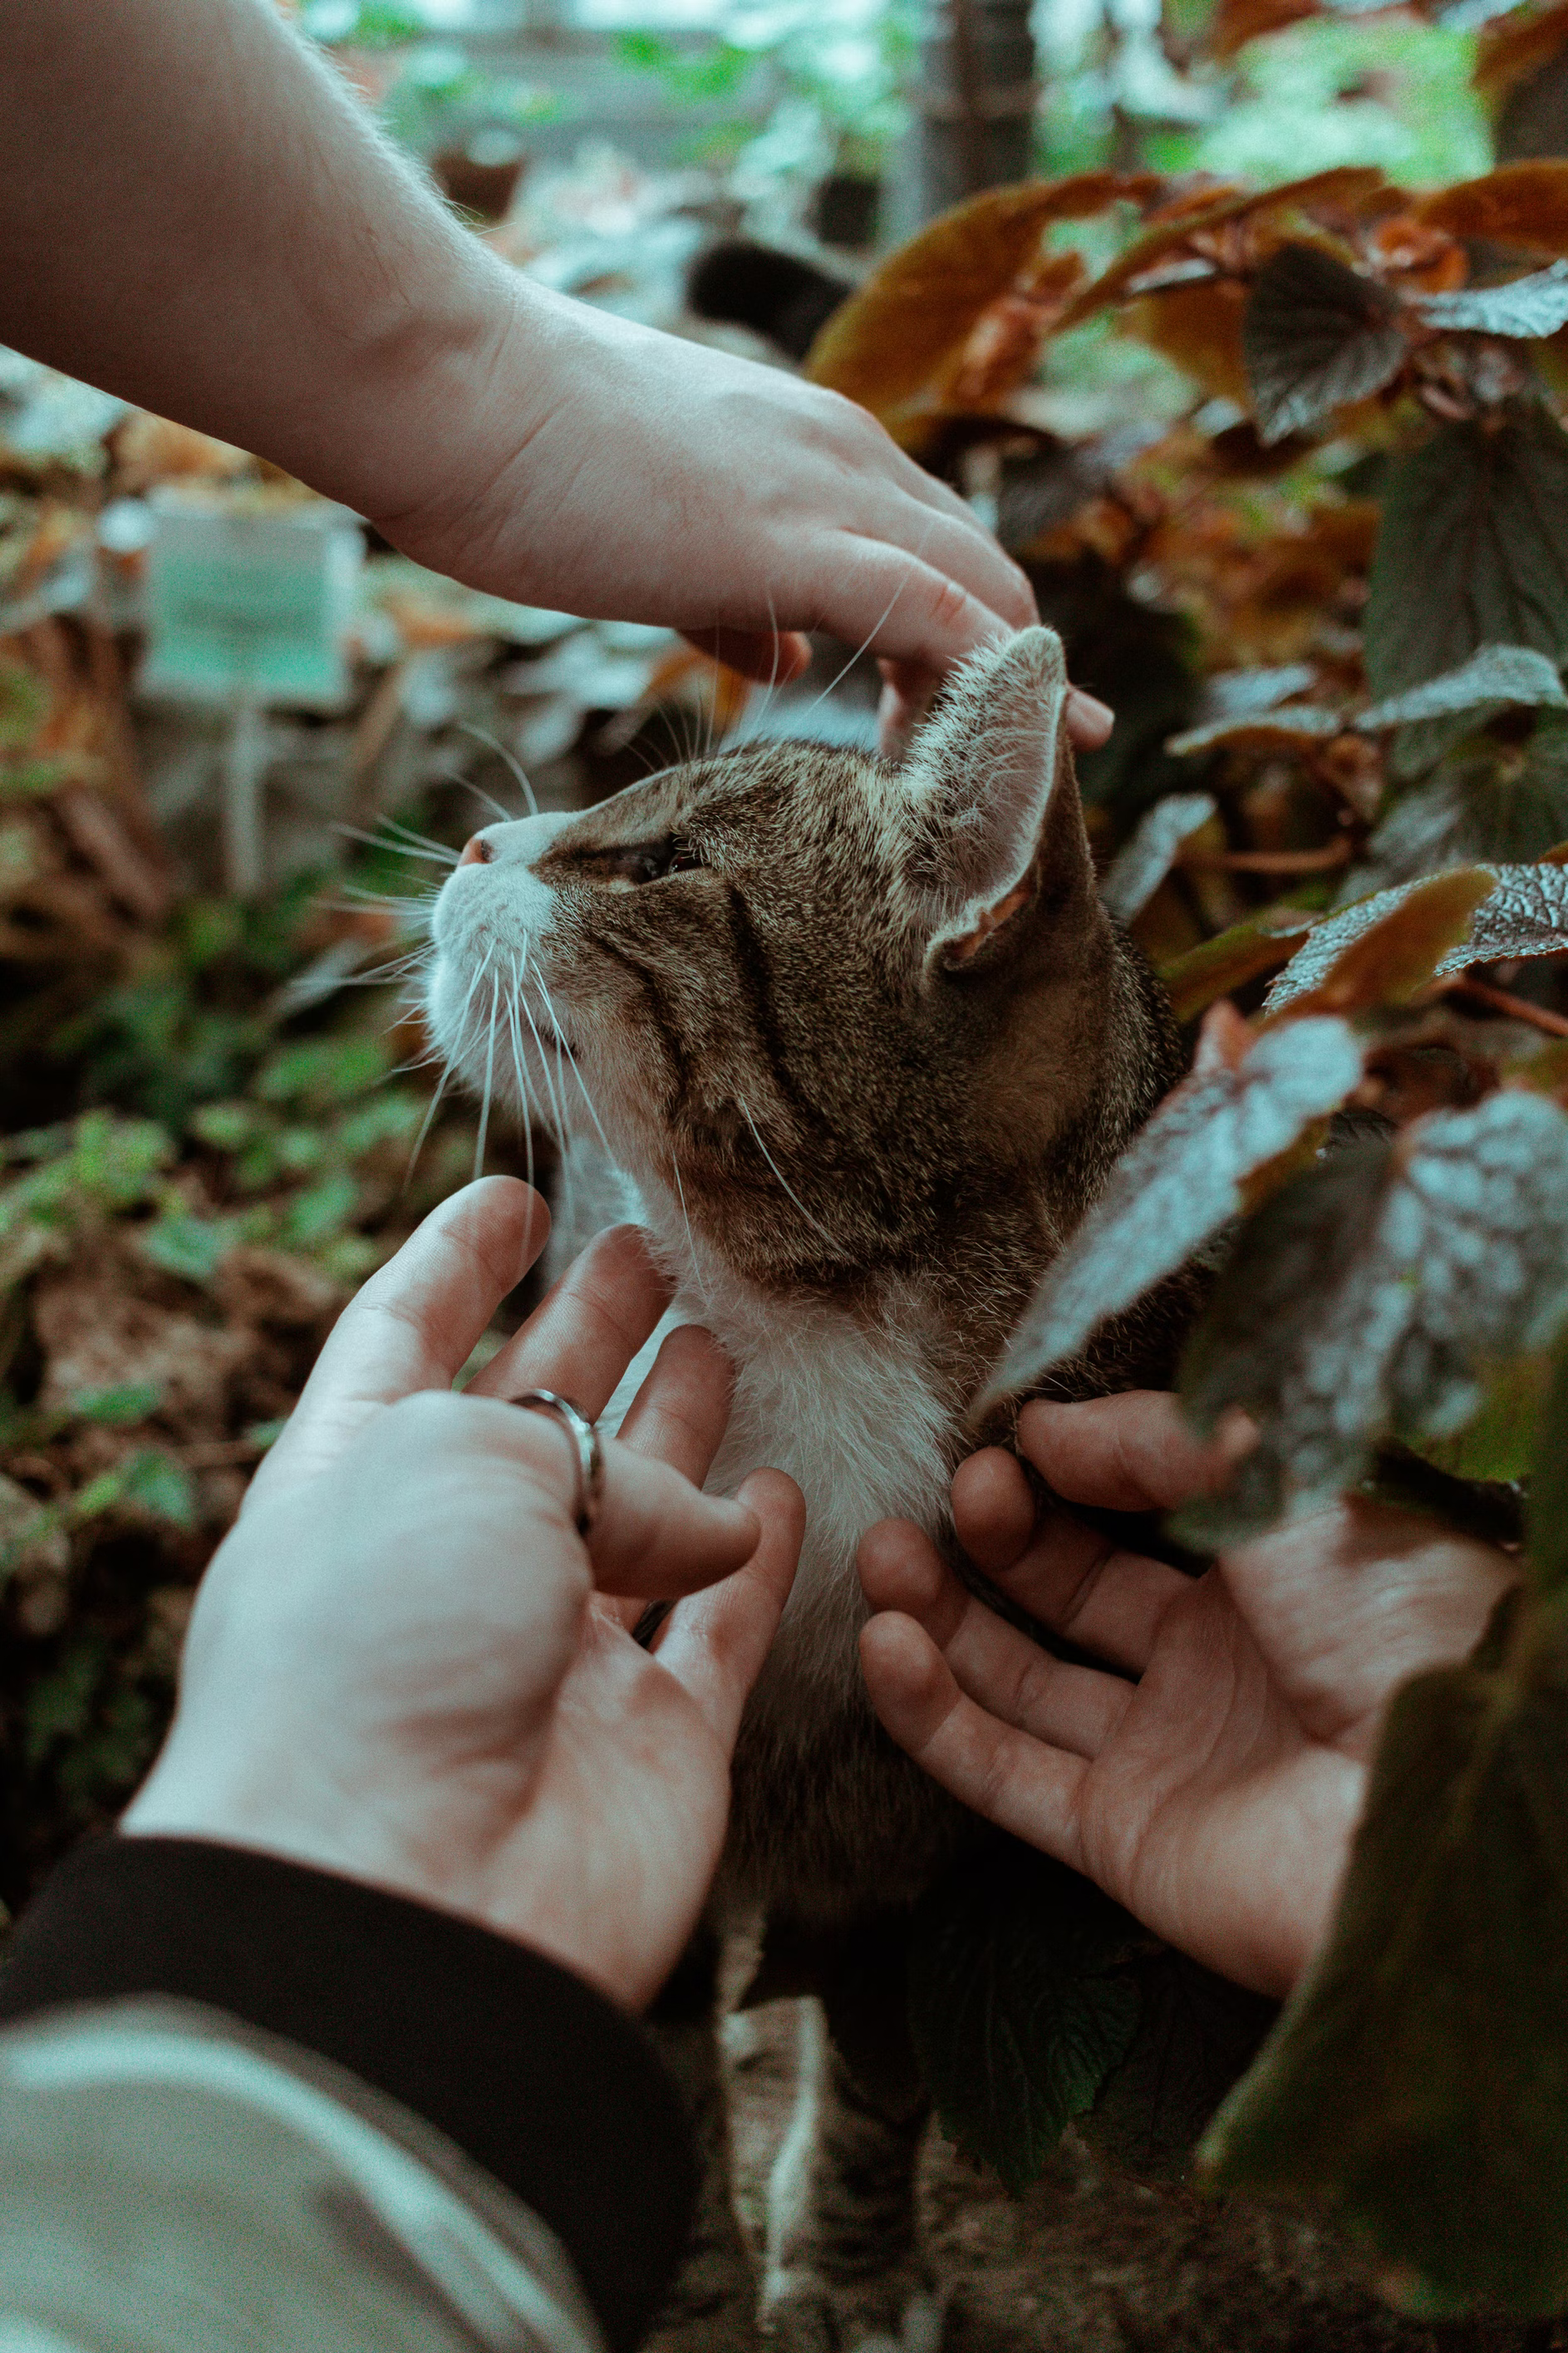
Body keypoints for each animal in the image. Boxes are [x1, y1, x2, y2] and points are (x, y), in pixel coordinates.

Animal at [423, 630, 1184, 2353]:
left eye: (659, 863)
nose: (478, 842)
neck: (811, 1343)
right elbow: (640, 2070)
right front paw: (692, 2298)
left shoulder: (918, 1819)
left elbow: (887, 2064)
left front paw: (845, 2258)